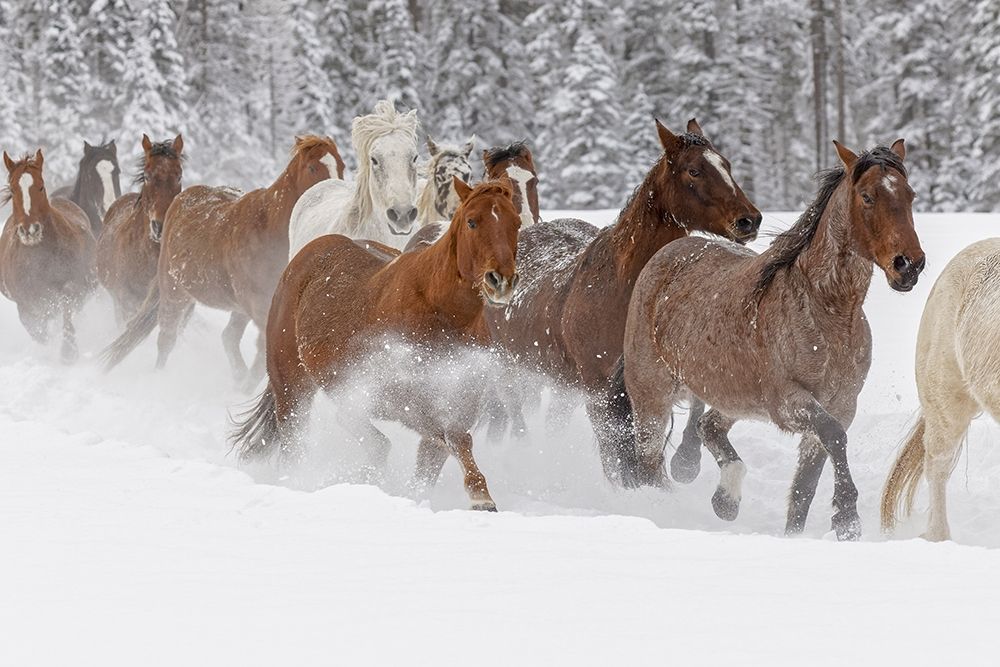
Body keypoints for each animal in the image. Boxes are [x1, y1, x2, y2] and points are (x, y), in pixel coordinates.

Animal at [0, 150, 96, 362]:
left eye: (41, 186)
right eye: (13, 190)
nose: (30, 230)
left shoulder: (72, 287)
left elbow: (67, 309)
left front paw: (68, 353)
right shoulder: (27, 305)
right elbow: (40, 334)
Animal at [231, 178, 521, 511]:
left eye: (516, 222)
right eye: (472, 221)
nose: (500, 281)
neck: (439, 311)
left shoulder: (456, 403)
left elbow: (437, 455)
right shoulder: (403, 400)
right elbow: (452, 437)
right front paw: (481, 497)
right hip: (292, 388)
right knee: (302, 441)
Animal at [485, 119, 761, 469]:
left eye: (726, 164)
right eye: (694, 171)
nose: (749, 220)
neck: (619, 290)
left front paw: (686, 460)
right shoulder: (600, 390)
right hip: (510, 369)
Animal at [614, 139, 923, 541]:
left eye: (910, 195)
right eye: (867, 196)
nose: (909, 265)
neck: (828, 313)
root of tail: (661, 258)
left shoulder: (841, 404)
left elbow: (804, 490)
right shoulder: (790, 402)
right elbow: (835, 436)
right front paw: (846, 517)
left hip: (732, 397)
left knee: (707, 426)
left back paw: (726, 500)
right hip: (652, 397)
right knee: (649, 465)